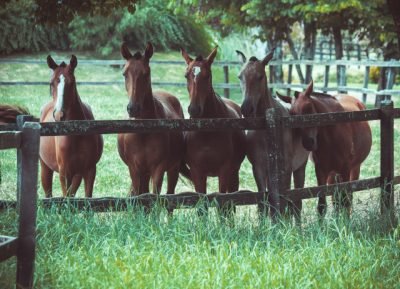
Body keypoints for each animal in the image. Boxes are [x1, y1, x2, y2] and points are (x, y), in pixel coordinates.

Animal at [39, 55, 103, 197]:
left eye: (72, 83)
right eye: (51, 83)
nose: (59, 115)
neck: (75, 133)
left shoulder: (88, 170)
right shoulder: (64, 172)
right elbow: (66, 196)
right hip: (45, 168)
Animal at [117, 42, 186, 195]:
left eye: (146, 73)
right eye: (124, 74)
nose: (133, 108)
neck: (144, 132)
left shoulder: (158, 169)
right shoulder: (134, 169)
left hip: (173, 169)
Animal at [182, 46, 247, 197]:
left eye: (207, 76)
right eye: (186, 75)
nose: (194, 109)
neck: (207, 131)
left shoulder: (224, 170)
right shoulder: (197, 172)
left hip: (234, 172)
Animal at [236, 50, 310, 219]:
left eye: (260, 76)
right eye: (240, 76)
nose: (246, 109)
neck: (266, 130)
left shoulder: (286, 169)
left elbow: (284, 202)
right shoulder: (258, 168)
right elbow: (263, 201)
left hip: (300, 167)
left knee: (297, 202)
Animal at [278, 80, 372, 215]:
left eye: (309, 107)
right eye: (292, 114)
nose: (308, 143)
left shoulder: (345, 169)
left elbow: (345, 200)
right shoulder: (321, 171)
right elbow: (322, 205)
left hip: (354, 168)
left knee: (348, 196)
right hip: (333, 173)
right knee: (335, 198)